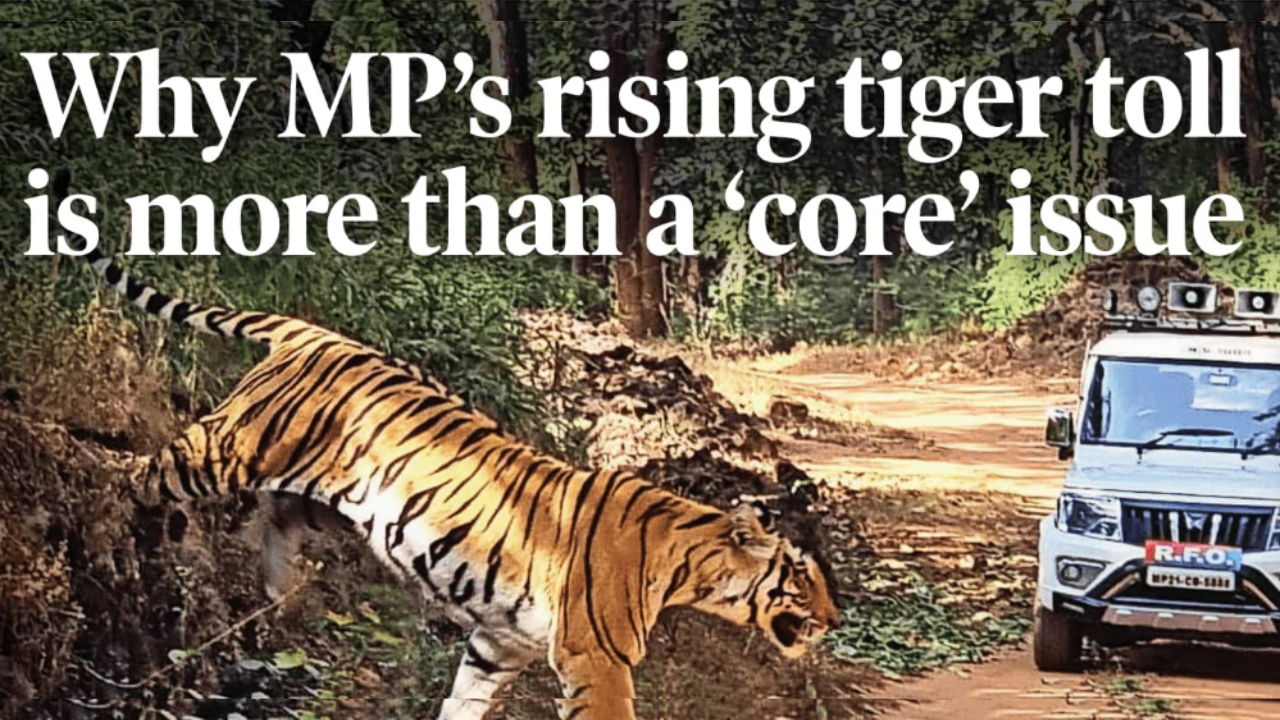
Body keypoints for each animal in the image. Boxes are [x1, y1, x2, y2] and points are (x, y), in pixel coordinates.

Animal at [81, 246, 842, 720]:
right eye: (802, 575)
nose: (834, 621)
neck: (686, 564)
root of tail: (311, 333)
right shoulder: (596, 659)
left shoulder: (498, 645)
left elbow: (465, 702)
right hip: (228, 448)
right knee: (146, 475)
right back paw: (107, 499)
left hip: (326, 502)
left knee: (266, 521)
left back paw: (272, 596)